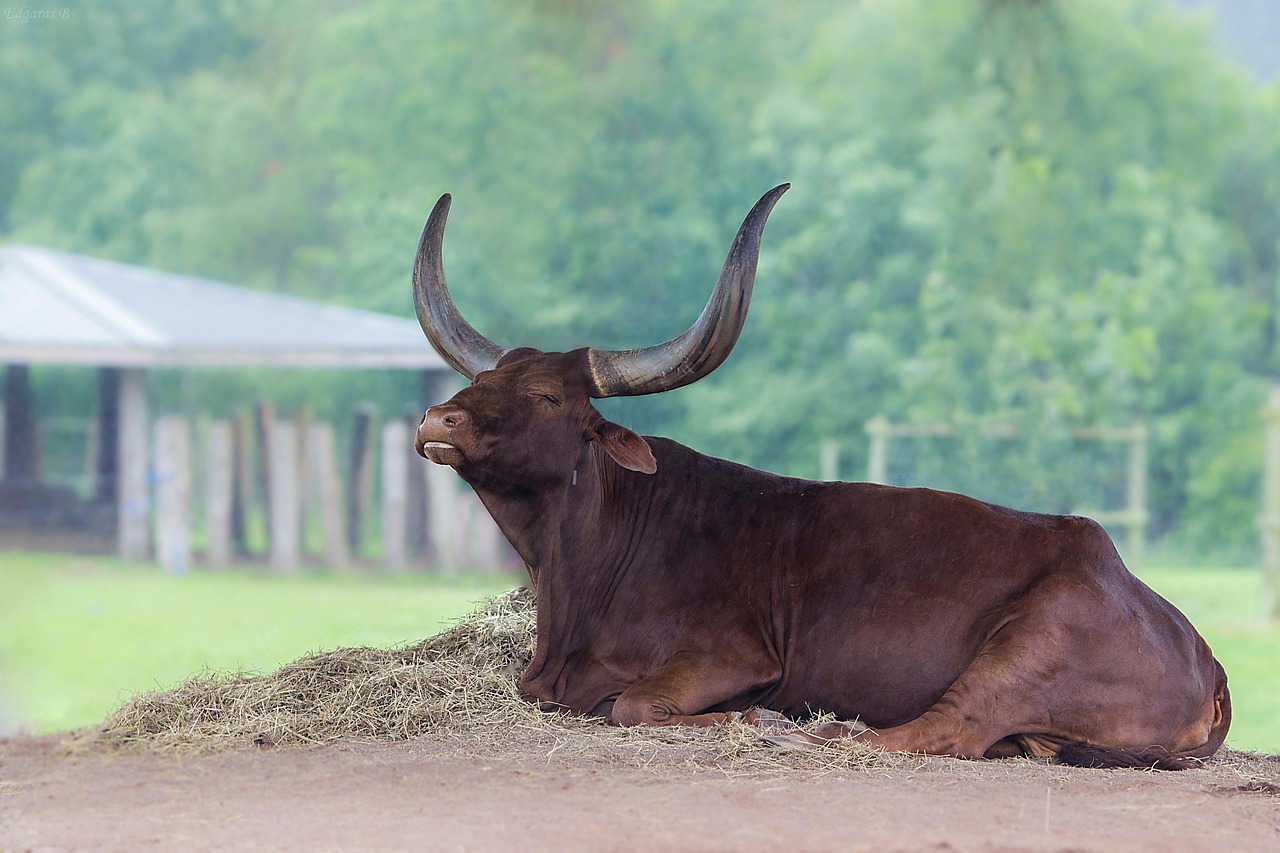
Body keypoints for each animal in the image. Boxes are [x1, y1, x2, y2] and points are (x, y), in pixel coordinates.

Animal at [411, 184, 1230, 769]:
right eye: (484, 379)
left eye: (549, 396)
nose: (437, 420)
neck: (578, 576)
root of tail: (1197, 649)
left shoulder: (734, 655)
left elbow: (632, 707)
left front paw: (751, 717)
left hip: (1023, 651)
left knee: (936, 732)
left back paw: (798, 730)